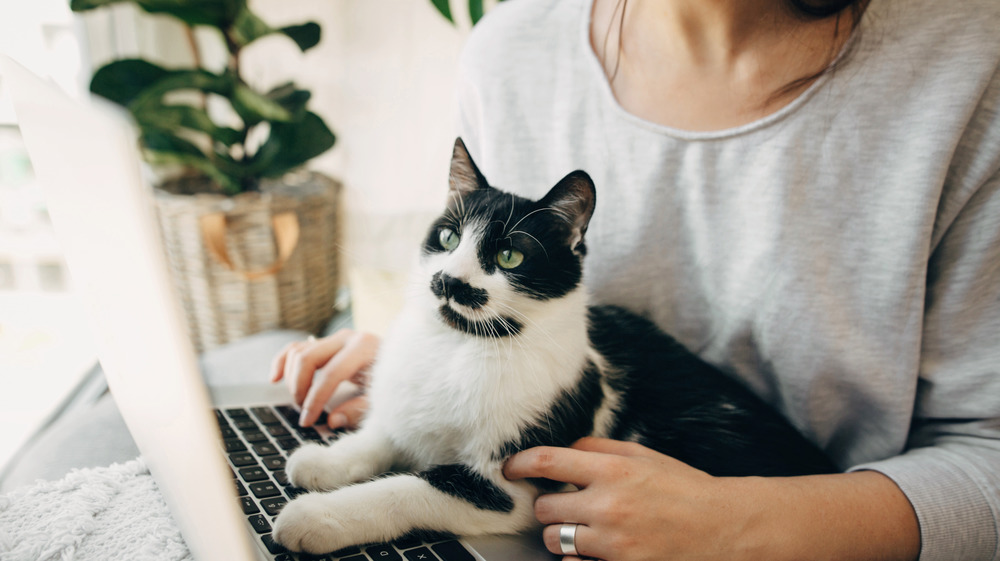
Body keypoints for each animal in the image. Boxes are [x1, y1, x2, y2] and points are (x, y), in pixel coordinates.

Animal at [272, 138, 836, 552]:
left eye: (510, 256)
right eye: (449, 238)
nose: (449, 281)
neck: (461, 347)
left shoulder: (510, 488)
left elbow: (410, 487)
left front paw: (315, 517)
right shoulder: (413, 412)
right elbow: (385, 435)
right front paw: (323, 462)